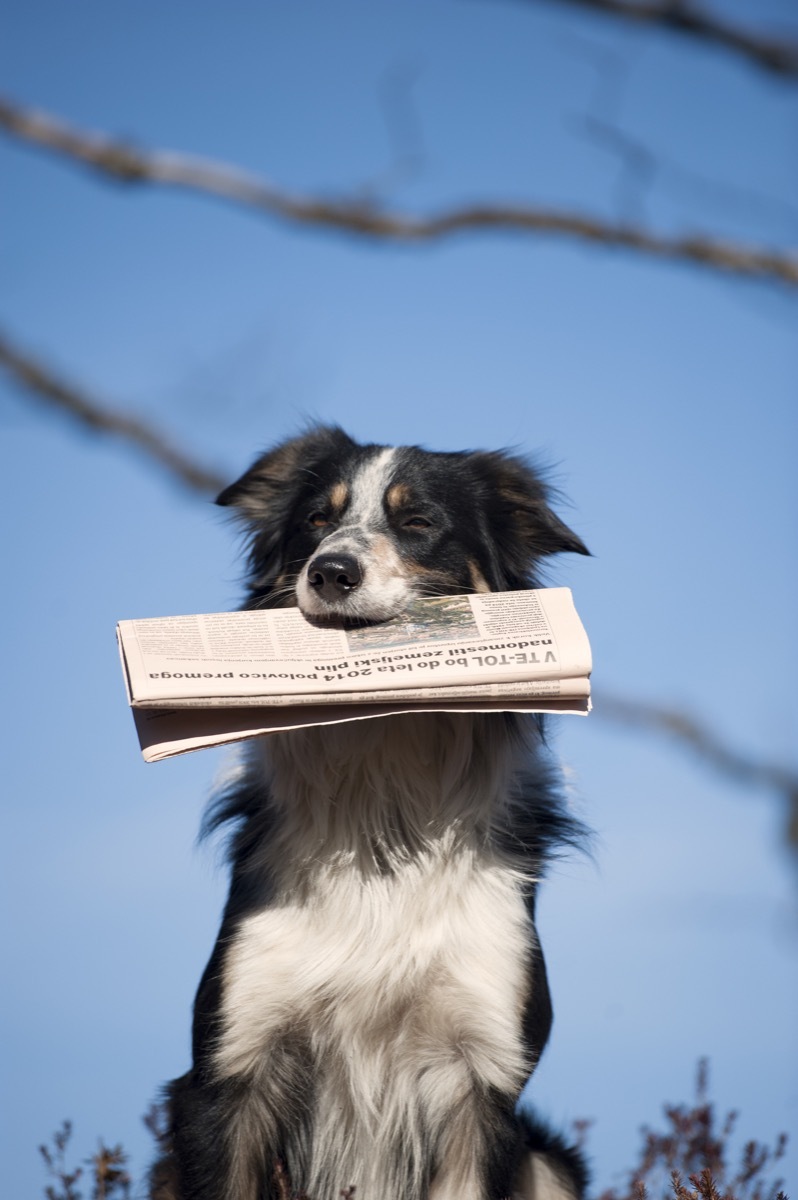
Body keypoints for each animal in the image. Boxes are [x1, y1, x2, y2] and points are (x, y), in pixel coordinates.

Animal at [152, 427, 588, 1195]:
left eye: (417, 522)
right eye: (315, 521)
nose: (330, 572)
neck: (386, 797)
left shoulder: (483, 1078)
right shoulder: (230, 1065)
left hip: (549, 1162)